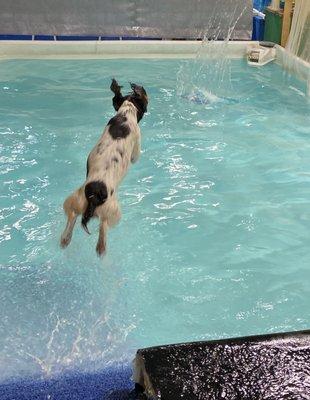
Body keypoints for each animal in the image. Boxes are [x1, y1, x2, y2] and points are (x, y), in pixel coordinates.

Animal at [60, 79, 149, 256]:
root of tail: (95, 193)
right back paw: (101, 248)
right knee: (103, 229)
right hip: (113, 211)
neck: (126, 112)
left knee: (72, 217)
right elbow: (135, 157)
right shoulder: (137, 144)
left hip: (75, 200)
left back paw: (65, 239)